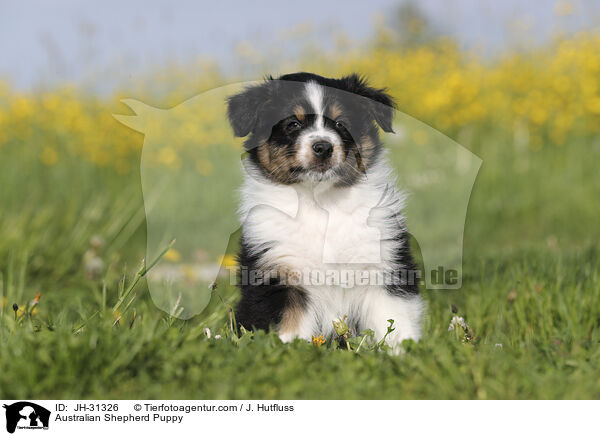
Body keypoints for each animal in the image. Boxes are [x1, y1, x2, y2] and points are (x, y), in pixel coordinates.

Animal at [227, 72, 424, 350]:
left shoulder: (383, 266)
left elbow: (395, 321)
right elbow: (289, 327)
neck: (320, 203)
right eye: (292, 124)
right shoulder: (279, 275)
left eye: (341, 123)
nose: (323, 147)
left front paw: (405, 353)